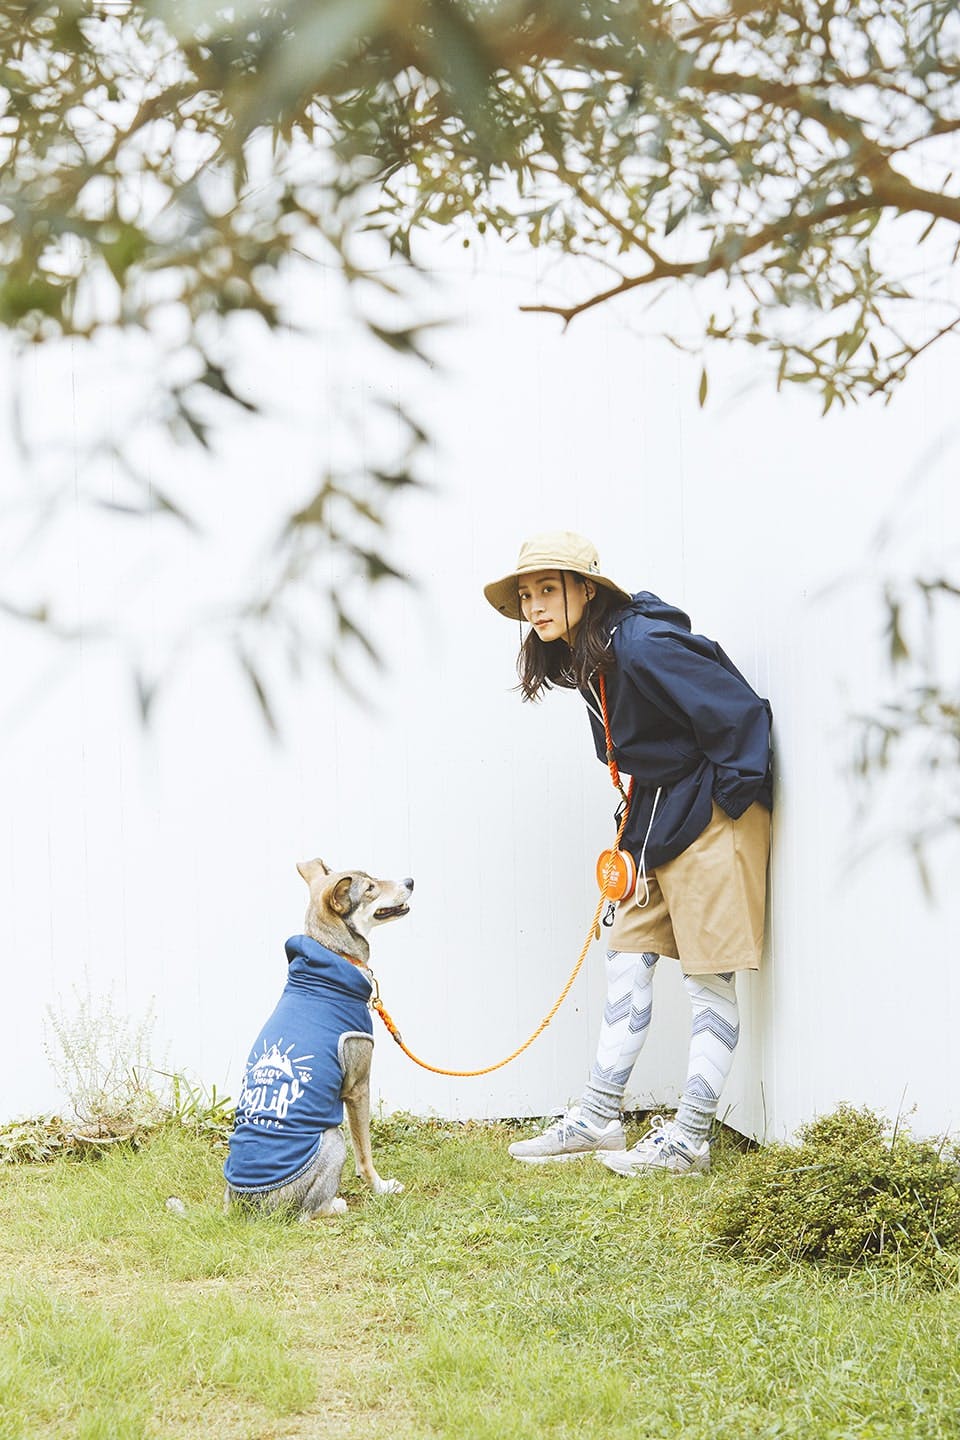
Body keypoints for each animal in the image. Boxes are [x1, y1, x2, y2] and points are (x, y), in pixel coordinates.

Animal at [223, 858, 414, 1221]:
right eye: (370, 888)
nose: (410, 881)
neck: (333, 954)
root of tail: (250, 1209)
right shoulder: (357, 1086)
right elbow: (364, 1152)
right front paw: (381, 1187)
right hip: (331, 1137)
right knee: (306, 1213)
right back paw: (335, 1205)